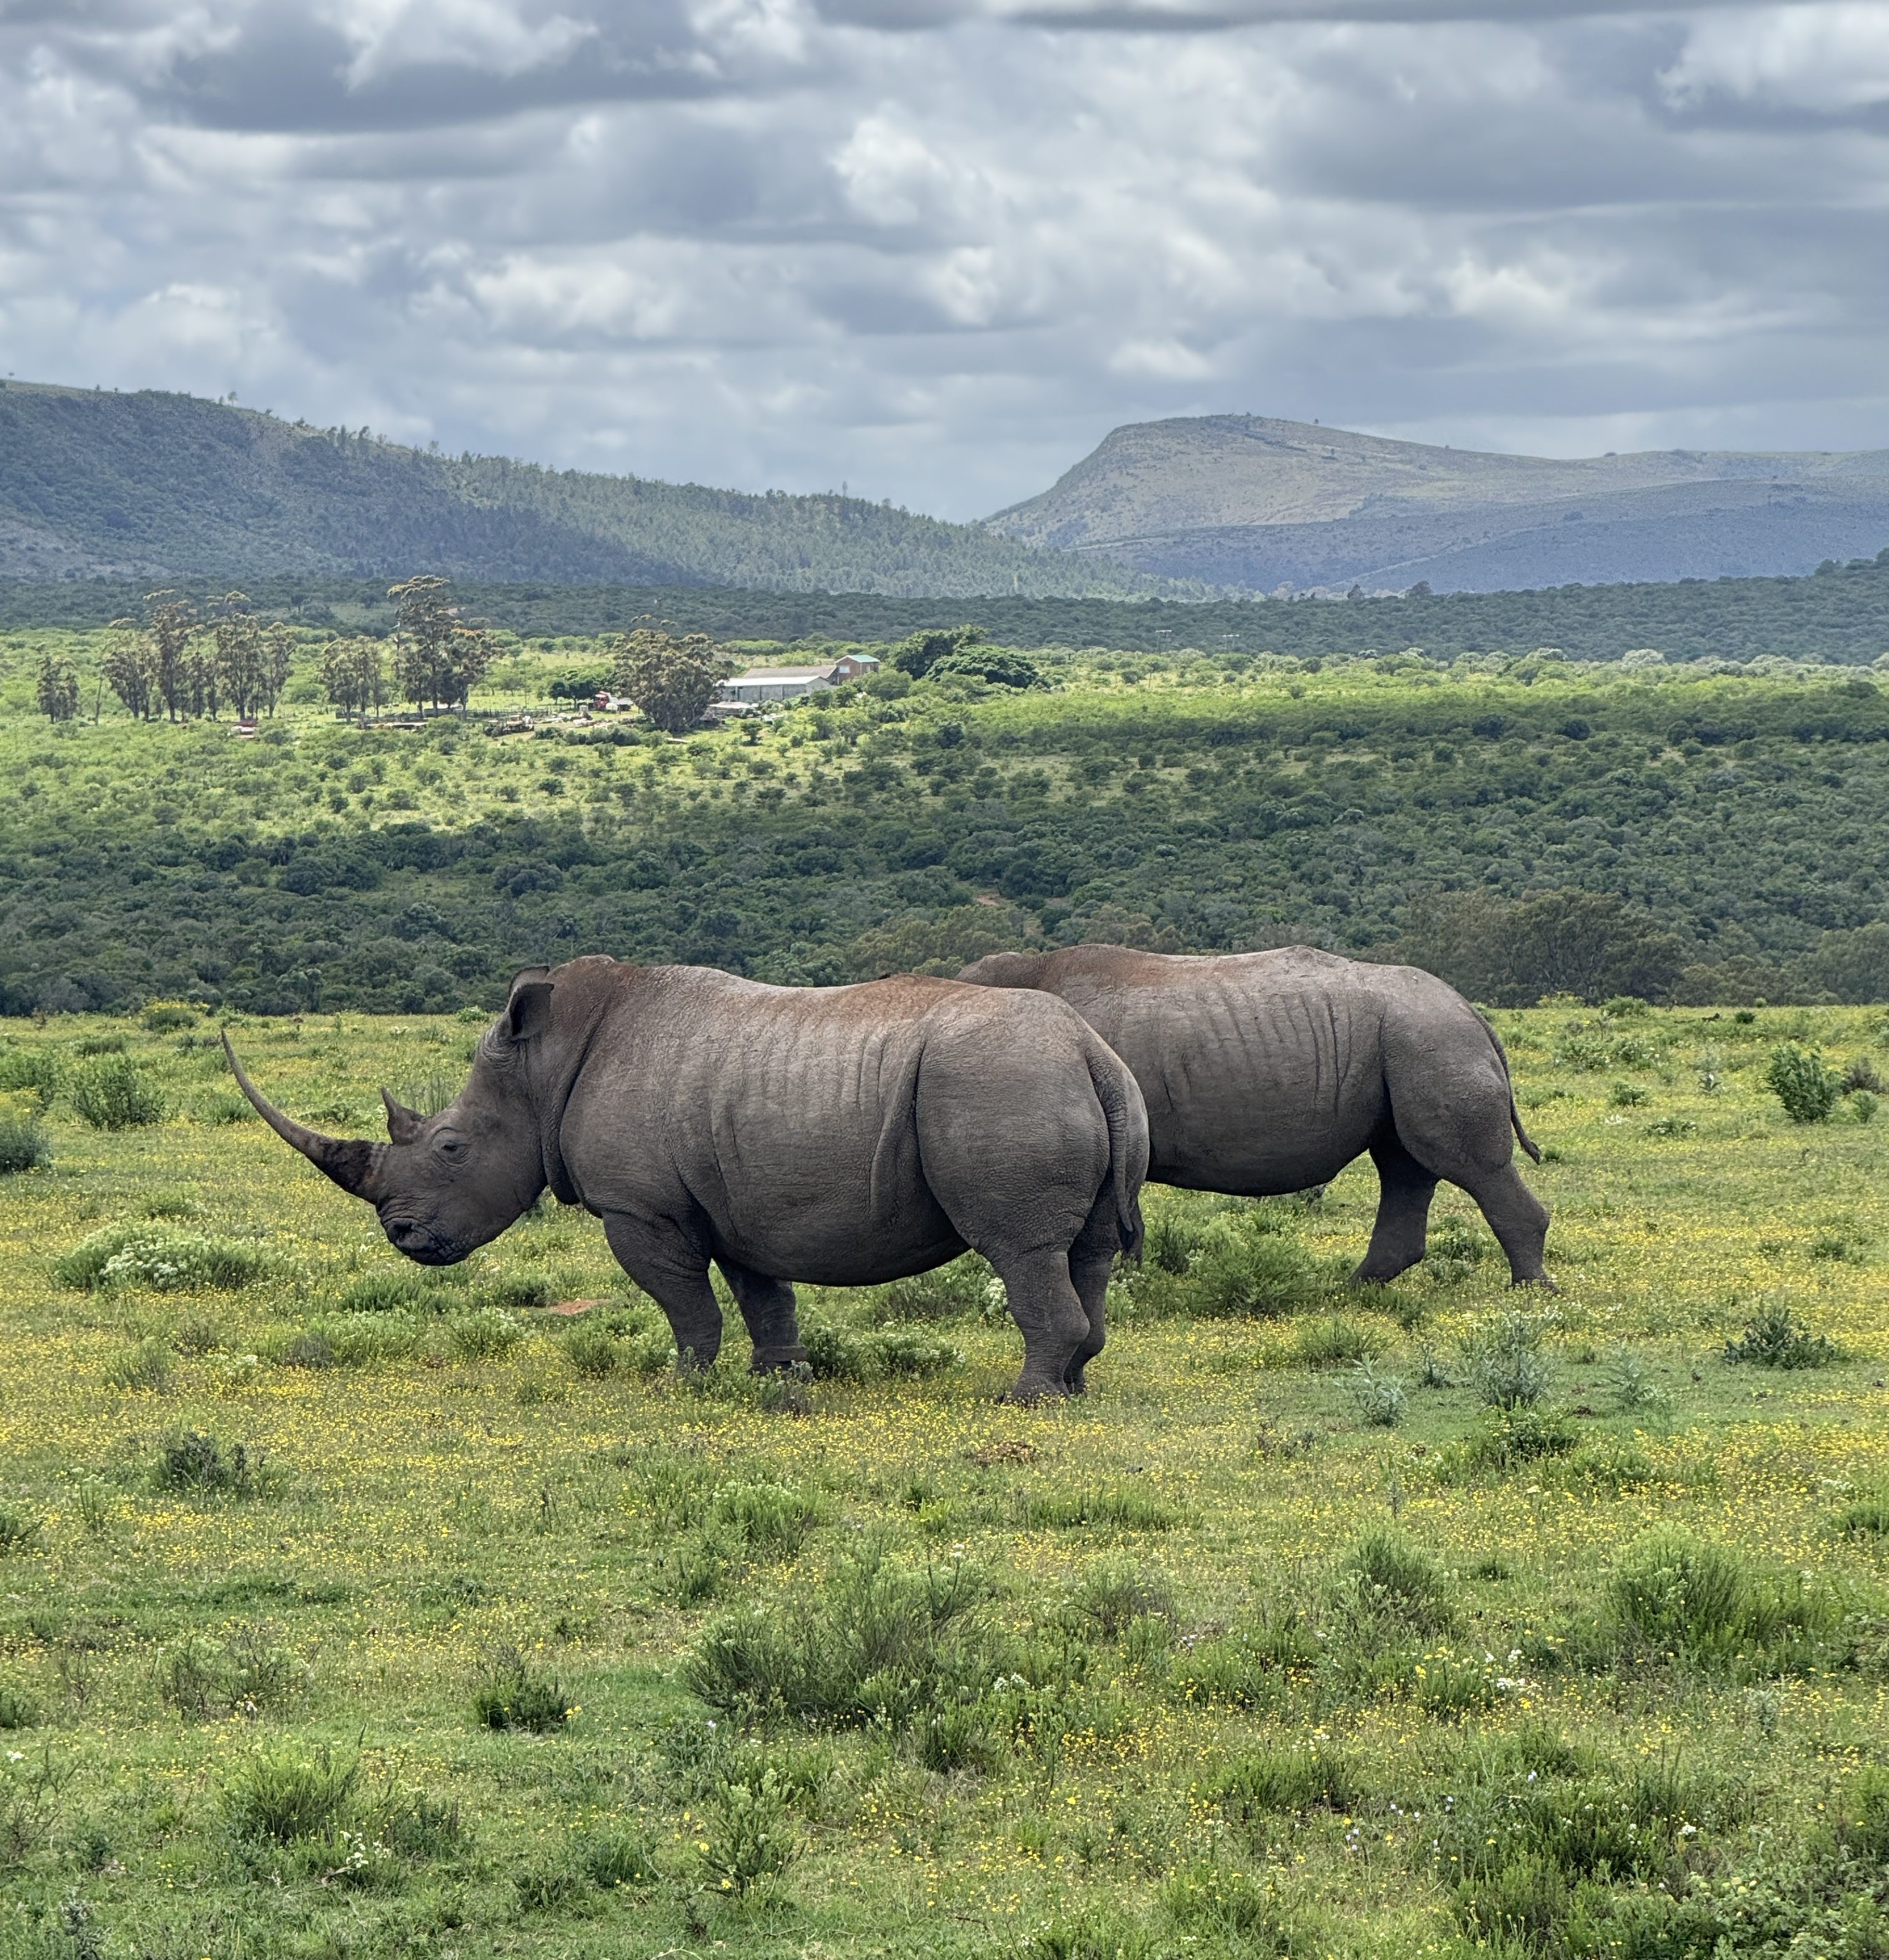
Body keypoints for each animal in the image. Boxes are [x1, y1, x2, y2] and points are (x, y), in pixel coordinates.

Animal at [226, 955, 1147, 1401]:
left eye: (448, 1146)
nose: (403, 1235)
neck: (540, 1067)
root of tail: (1090, 1049)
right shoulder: (740, 1201)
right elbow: (762, 1294)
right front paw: (780, 1381)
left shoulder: (640, 1208)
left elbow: (684, 1301)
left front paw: (682, 1384)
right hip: (1069, 1082)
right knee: (1088, 1251)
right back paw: (1076, 1385)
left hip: (998, 1082)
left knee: (1020, 1249)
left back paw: (1025, 1401)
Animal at [956, 944, 1548, 1286]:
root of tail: (1470, 1008)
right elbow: (1130, 1216)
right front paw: (1132, 1280)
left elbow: (1125, 1216)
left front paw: (1127, 1284)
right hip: (1413, 1039)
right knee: (1403, 1164)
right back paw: (1353, 1288)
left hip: (1431, 1036)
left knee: (1466, 1167)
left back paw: (1530, 1292)